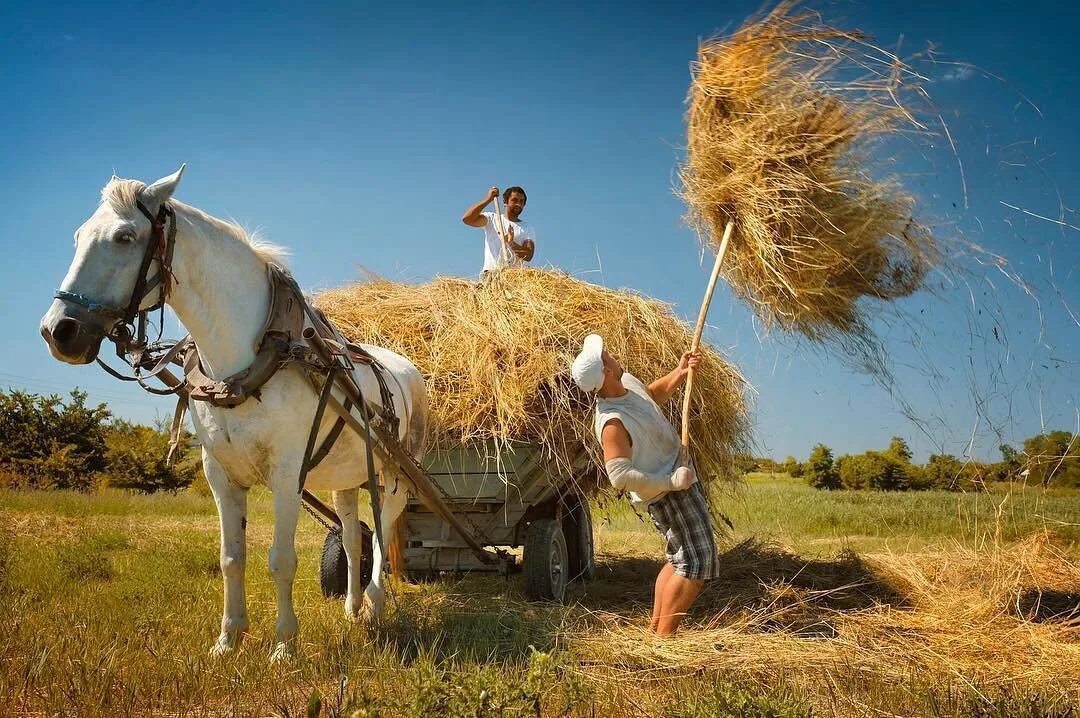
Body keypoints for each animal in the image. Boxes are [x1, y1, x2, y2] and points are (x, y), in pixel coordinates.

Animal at [39, 165, 425, 656]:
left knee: (382, 530)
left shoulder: (287, 473)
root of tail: (405, 367)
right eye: (78, 235)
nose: (58, 331)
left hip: (394, 476)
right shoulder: (219, 474)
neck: (248, 360)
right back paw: (353, 607)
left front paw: (283, 645)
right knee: (356, 534)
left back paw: (375, 605)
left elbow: (281, 560)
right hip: (348, 475)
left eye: (125, 237)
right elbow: (231, 558)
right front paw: (229, 638)